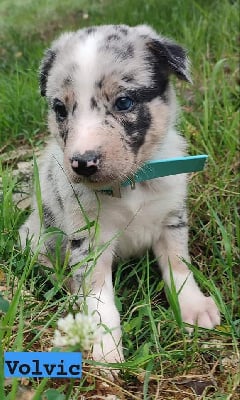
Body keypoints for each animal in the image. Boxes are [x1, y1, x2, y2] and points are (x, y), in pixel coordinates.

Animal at [19, 24, 220, 362]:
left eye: (124, 102)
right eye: (60, 109)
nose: (83, 163)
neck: (131, 186)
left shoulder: (171, 218)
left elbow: (180, 267)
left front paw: (193, 307)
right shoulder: (88, 239)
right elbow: (100, 300)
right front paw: (105, 348)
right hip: (35, 239)